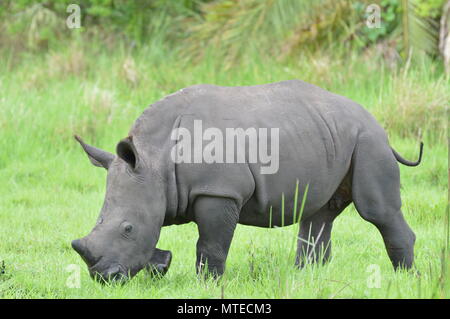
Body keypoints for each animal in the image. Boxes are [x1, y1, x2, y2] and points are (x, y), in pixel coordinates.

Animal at [70, 81, 422, 284]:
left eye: (127, 228)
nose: (105, 279)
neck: (155, 159)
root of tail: (374, 120)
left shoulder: (219, 191)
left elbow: (211, 244)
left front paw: (208, 285)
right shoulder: (157, 187)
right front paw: (162, 266)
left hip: (369, 141)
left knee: (377, 211)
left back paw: (407, 278)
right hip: (332, 135)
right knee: (319, 214)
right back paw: (307, 279)